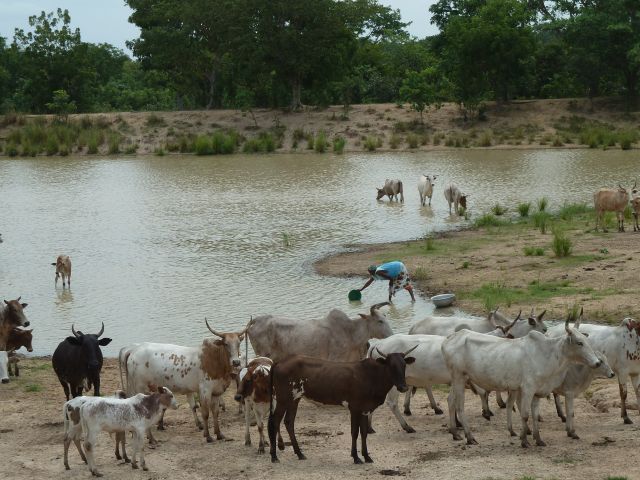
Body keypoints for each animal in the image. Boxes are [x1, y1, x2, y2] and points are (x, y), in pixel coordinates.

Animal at [248, 302, 392, 362]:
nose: (391, 335)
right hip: (263, 354)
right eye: (379, 321)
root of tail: (256, 320)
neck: (350, 332)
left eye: (386, 317)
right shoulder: (335, 358)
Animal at [268, 346, 418, 464]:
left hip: (294, 399)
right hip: (283, 399)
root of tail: (280, 361)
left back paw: (299, 453)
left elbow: (364, 433)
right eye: (391, 366)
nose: (403, 387)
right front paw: (356, 458)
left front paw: (366, 456)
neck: (371, 376)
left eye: (404, 365)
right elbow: (354, 433)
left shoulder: (365, 409)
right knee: (274, 422)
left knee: (289, 422)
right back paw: (274, 456)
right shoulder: (355, 408)